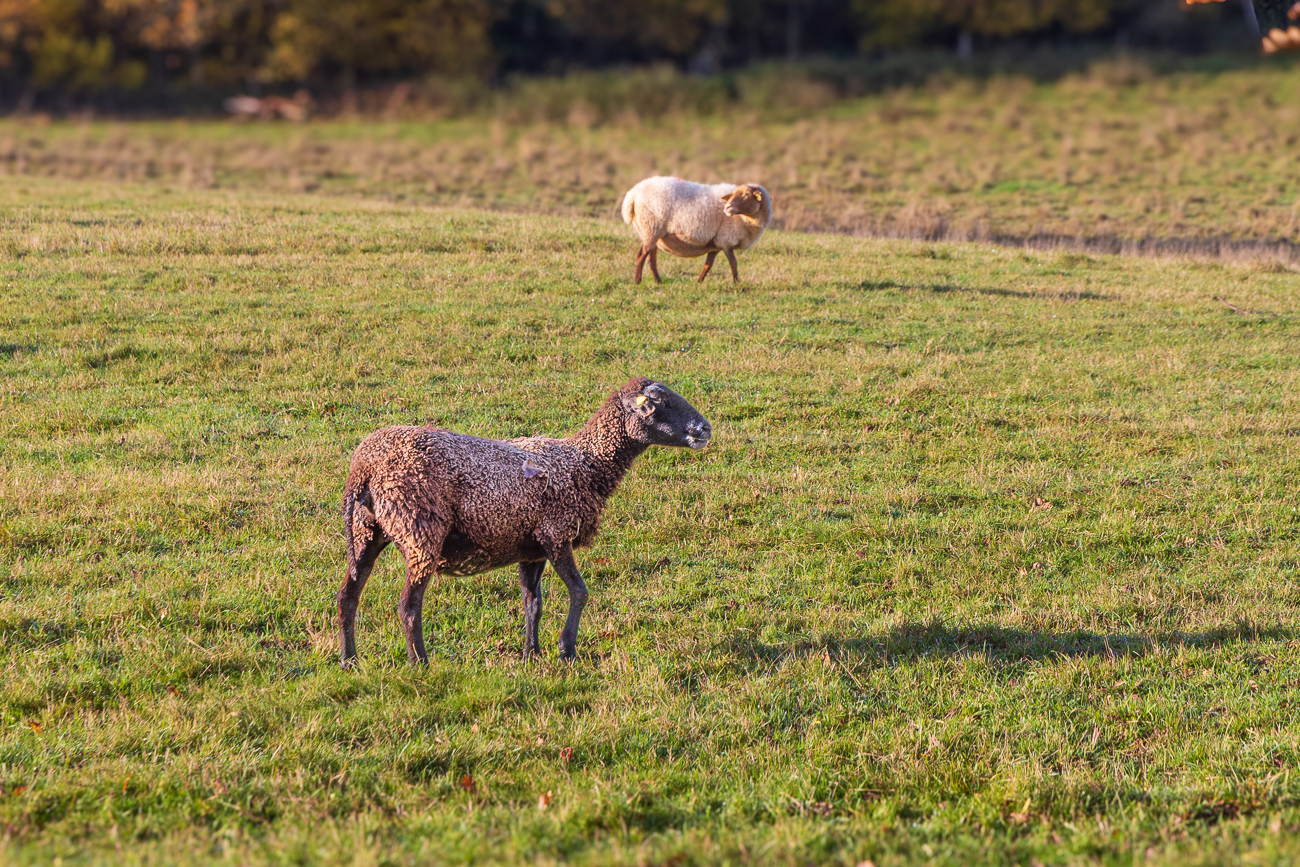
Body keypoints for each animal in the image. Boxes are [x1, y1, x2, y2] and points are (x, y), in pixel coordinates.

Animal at [337, 377, 712, 667]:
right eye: (657, 402)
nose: (705, 428)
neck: (586, 464)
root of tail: (363, 469)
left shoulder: (531, 549)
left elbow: (533, 603)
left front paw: (532, 654)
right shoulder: (556, 533)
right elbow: (580, 592)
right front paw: (567, 650)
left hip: (366, 531)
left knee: (347, 596)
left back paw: (349, 660)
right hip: (420, 531)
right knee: (408, 606)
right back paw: (421, 663)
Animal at [620, 176, 773, 284]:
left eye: (747, 194)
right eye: (734, 194)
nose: (727, 207)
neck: (746, 219)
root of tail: (632, 195)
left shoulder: (716, 243)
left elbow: (708, 264)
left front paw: (699, 282)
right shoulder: (727, 240)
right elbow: (733, 263)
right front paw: (737, 283)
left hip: (651, 232)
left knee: (651, 258)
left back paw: (658, 281)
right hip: (651, 228)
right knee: (641, 255)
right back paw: (637, 282)